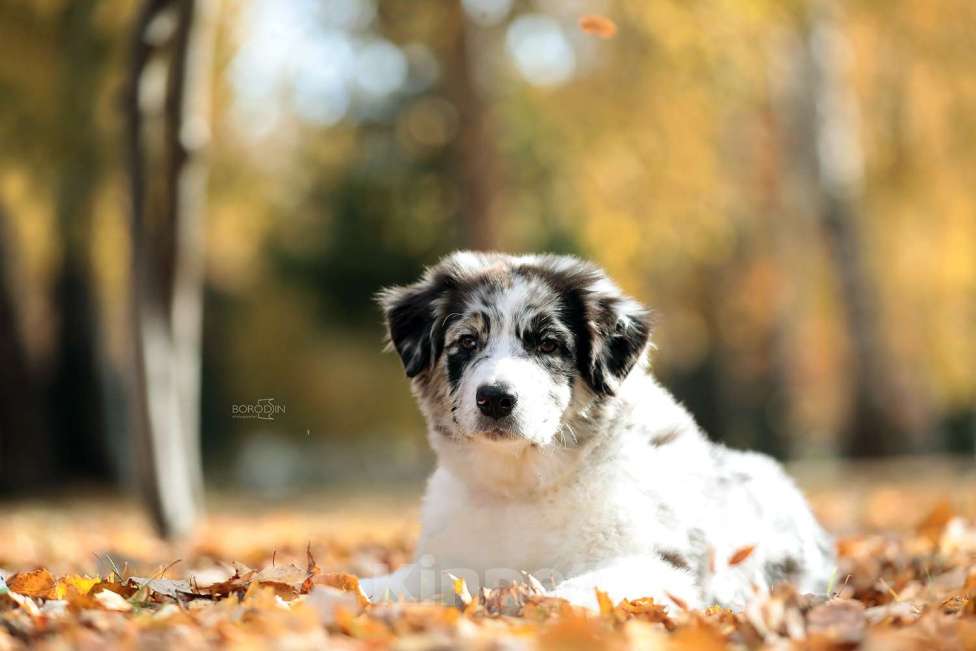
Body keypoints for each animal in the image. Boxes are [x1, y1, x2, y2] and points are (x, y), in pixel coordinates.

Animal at [362, 251, 836, 612]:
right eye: (467, 342)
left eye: (548, 344)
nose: (495, 398)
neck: (523, 489)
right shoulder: (449, 562)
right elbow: (392, 585)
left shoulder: (660, 565)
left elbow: (583, 589)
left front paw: (540, 604)